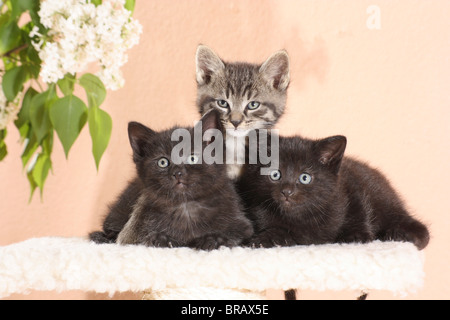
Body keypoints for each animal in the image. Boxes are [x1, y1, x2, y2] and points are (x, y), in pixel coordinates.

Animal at [89, 110, 255, 250]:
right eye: (163, 162)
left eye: (192, 157)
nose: (177, 173)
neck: (186, 206)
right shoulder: (133, 232)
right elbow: (140, 238)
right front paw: (161, 239)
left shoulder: (243, 226)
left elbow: (236, 236)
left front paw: (214, 239)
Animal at [237, 135, 430, 250]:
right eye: (275, 174)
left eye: (305, 177)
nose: (287, 192)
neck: (301, 216)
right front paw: (266, 238)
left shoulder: (348, 184)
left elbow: (359, 209)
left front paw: (357, 236)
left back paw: (400, 235)